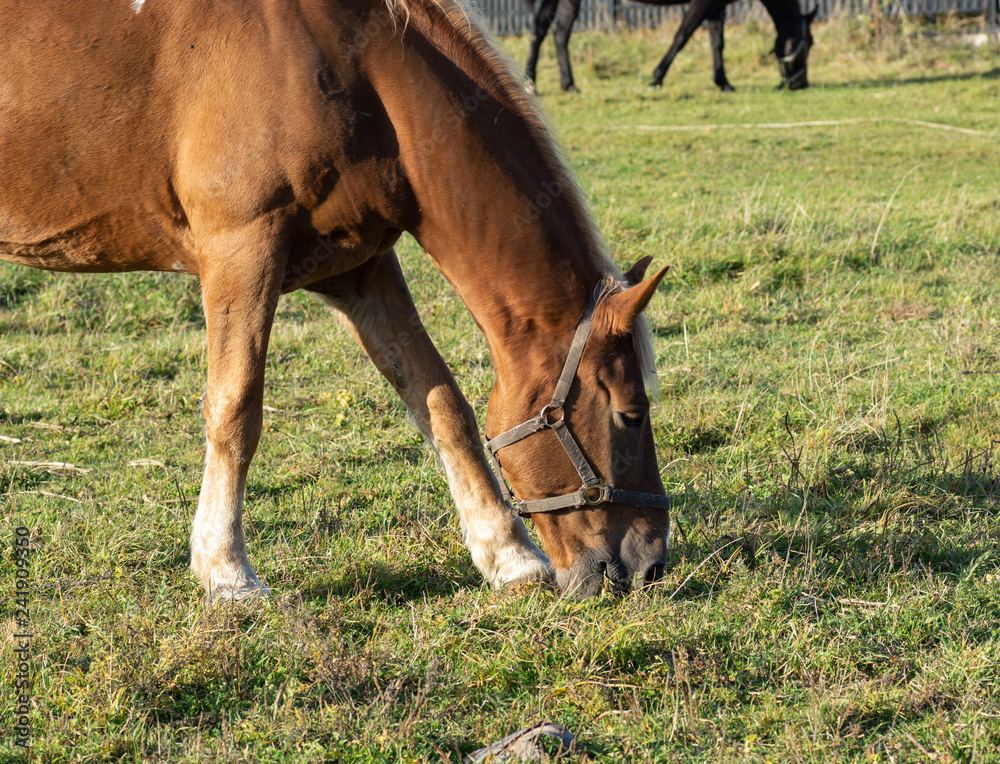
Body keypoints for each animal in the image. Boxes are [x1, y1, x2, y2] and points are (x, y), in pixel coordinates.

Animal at [0, 0, 671, 601]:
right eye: (631, 414)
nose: (649, 563)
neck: (349, 64)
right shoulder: (242, 252)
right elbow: (235, 410)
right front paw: (226, 571)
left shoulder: (361, 271)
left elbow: (441, 403)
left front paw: (509, 556)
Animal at [525, 0, 816, 94]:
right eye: (810, 43)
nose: (801, 84)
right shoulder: (704, 2)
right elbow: (682, 36)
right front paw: (656, 78)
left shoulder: (717, 6)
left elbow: (717, 42)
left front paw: (723, 82)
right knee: (560, 31)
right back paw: (567, 83)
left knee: (540, 28)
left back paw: (533, 82)